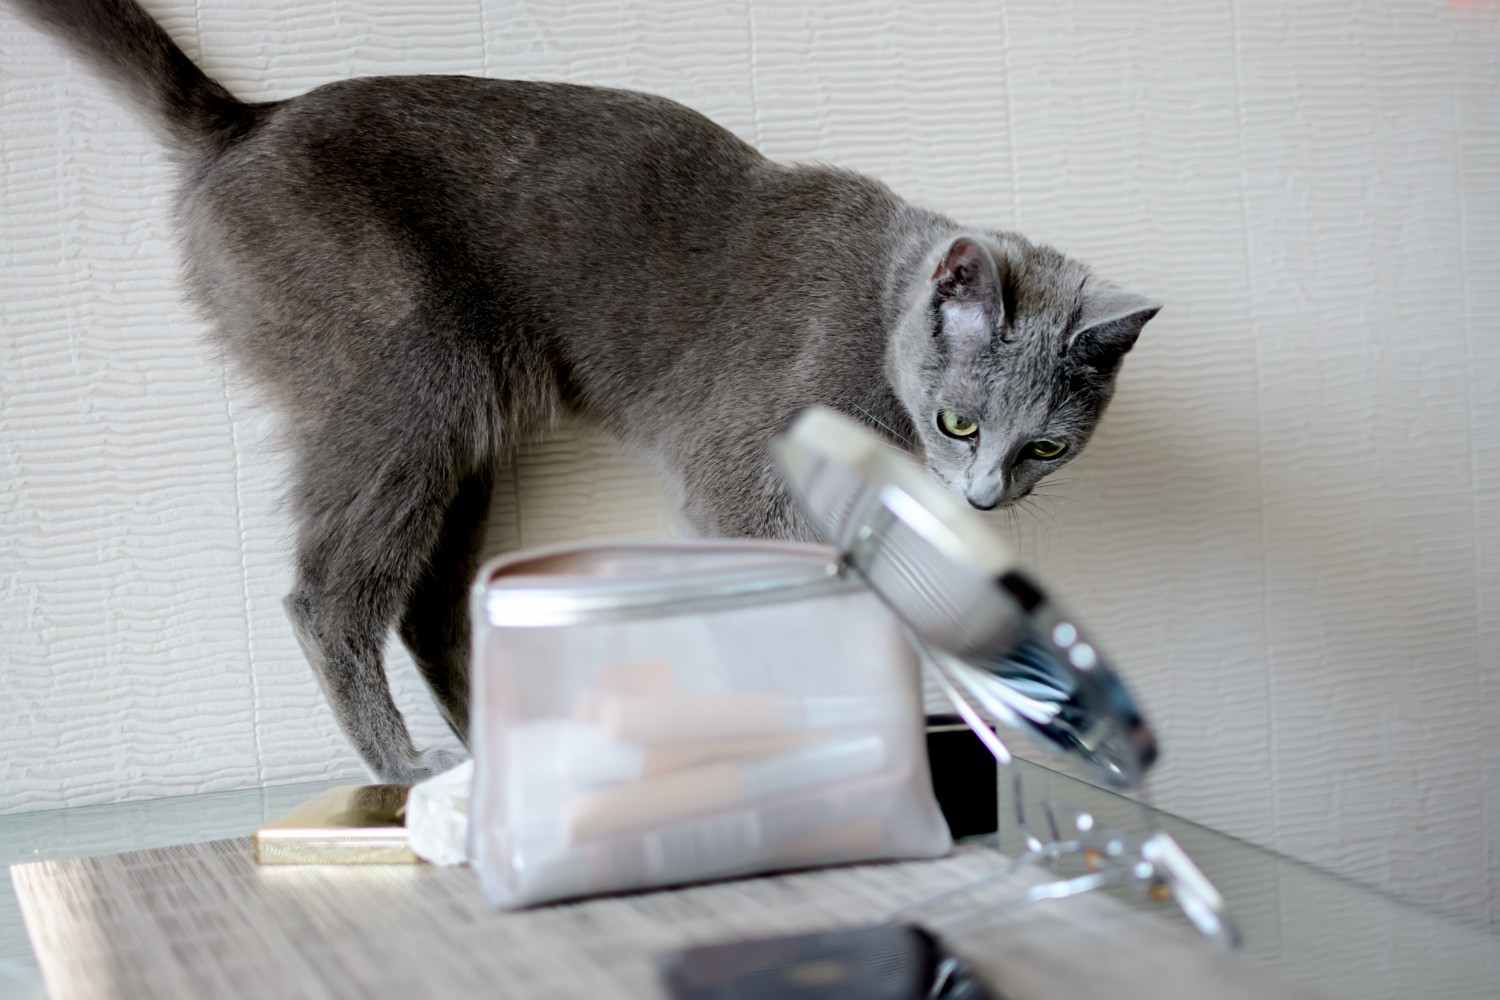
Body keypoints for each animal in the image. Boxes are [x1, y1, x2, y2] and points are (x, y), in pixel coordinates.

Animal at [14, 0, 1158, 779]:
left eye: (1046, 447)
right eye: (961, 422)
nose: (985, 497)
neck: (879, 323)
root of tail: (248, 120)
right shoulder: (739, 480)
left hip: (461, 428)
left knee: (428, 608)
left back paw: (500, 744)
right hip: (401, 384)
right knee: (329, 596)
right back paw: (408, 769)